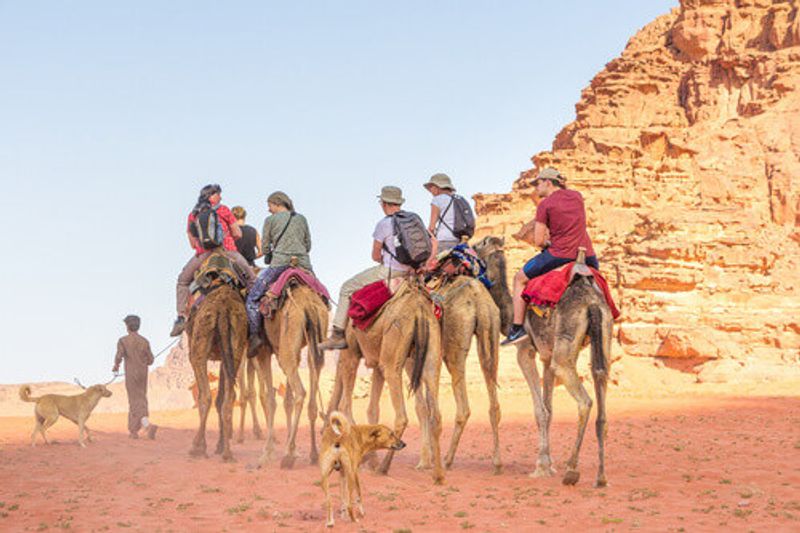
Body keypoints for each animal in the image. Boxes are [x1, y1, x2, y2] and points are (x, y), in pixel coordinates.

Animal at [186, 282, 248, 462]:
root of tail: (223, 307)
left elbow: (203, 396)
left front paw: (204, 447)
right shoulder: (223, 357)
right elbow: (221, 398)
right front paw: (219, 446)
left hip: (199, 343)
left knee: (206, 396)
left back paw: (196, 448)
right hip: (236, 341)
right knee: (229, 398)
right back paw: (227, 453)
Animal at [250, 280, 324, 468]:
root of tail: (309, 305)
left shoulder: (263, 351)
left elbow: (270, 399)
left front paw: (267, 453)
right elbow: (286, 400)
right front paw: (292, 449)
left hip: (288, 338)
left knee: (301, 392)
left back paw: (287, 457)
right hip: (314, 340)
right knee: (312, 393)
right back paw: (313, 454)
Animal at [326, 276, 450, 484]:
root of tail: (419, 310)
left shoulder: (350, 354)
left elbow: (344, 405)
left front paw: (368, 460)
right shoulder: (376, 362)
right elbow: (372, 410)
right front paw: (369, 458)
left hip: (393, 358)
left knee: (402, 416)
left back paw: (383, 468)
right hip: (430, 355)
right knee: (435, 414)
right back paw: (438, 475)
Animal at [476, 237, 612, 486]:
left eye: (478, 245)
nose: (467, 245)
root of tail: (592, 303)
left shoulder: (525, 351)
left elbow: (540, 411)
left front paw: (541, 467)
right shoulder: (547, 357)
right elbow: (549, 409)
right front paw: (547, 463)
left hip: (564, 351)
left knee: (585, 401)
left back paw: (572, 469)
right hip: (603, 334)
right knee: (601, 381)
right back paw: (601, 477)